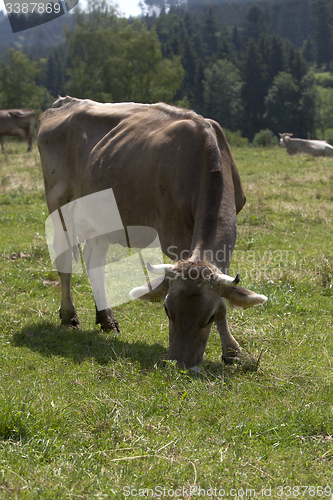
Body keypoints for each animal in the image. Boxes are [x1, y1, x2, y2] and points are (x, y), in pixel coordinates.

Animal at [36, 96, 266, 372]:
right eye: (167, 310)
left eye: (209, 317)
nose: (182, 366)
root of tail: (65, 102)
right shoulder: (174, 236)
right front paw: (232, 350)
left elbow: (223, 298)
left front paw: (232, 352)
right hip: (59, 205)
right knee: (65, 262)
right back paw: (69, 316)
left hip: (100, 215)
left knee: (94, 263)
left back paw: (106, 319)